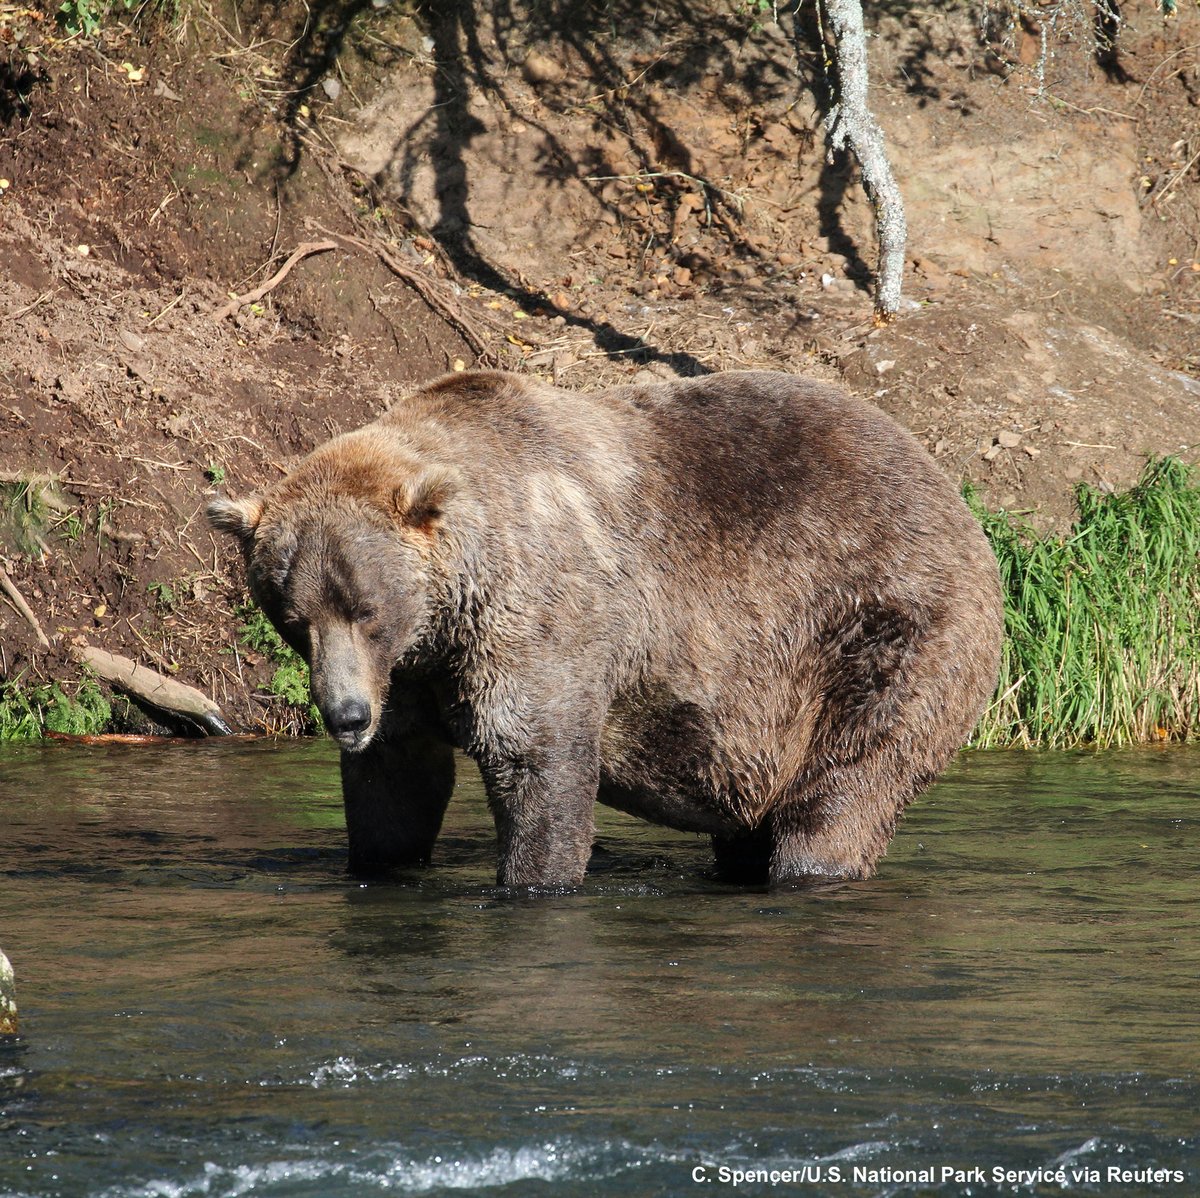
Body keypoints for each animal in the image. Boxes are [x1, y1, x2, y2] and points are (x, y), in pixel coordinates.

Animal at [207, 370, 1003, 888]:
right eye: (294, 617)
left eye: (367, 610)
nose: (345, 715)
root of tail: (951, 491)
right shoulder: (412, 676)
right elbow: (397, 783)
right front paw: (381, 860)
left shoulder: (539, 618)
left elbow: (538, 761)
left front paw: (534, 877)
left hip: (880, 627)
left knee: (847, 782)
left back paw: (811, 865)